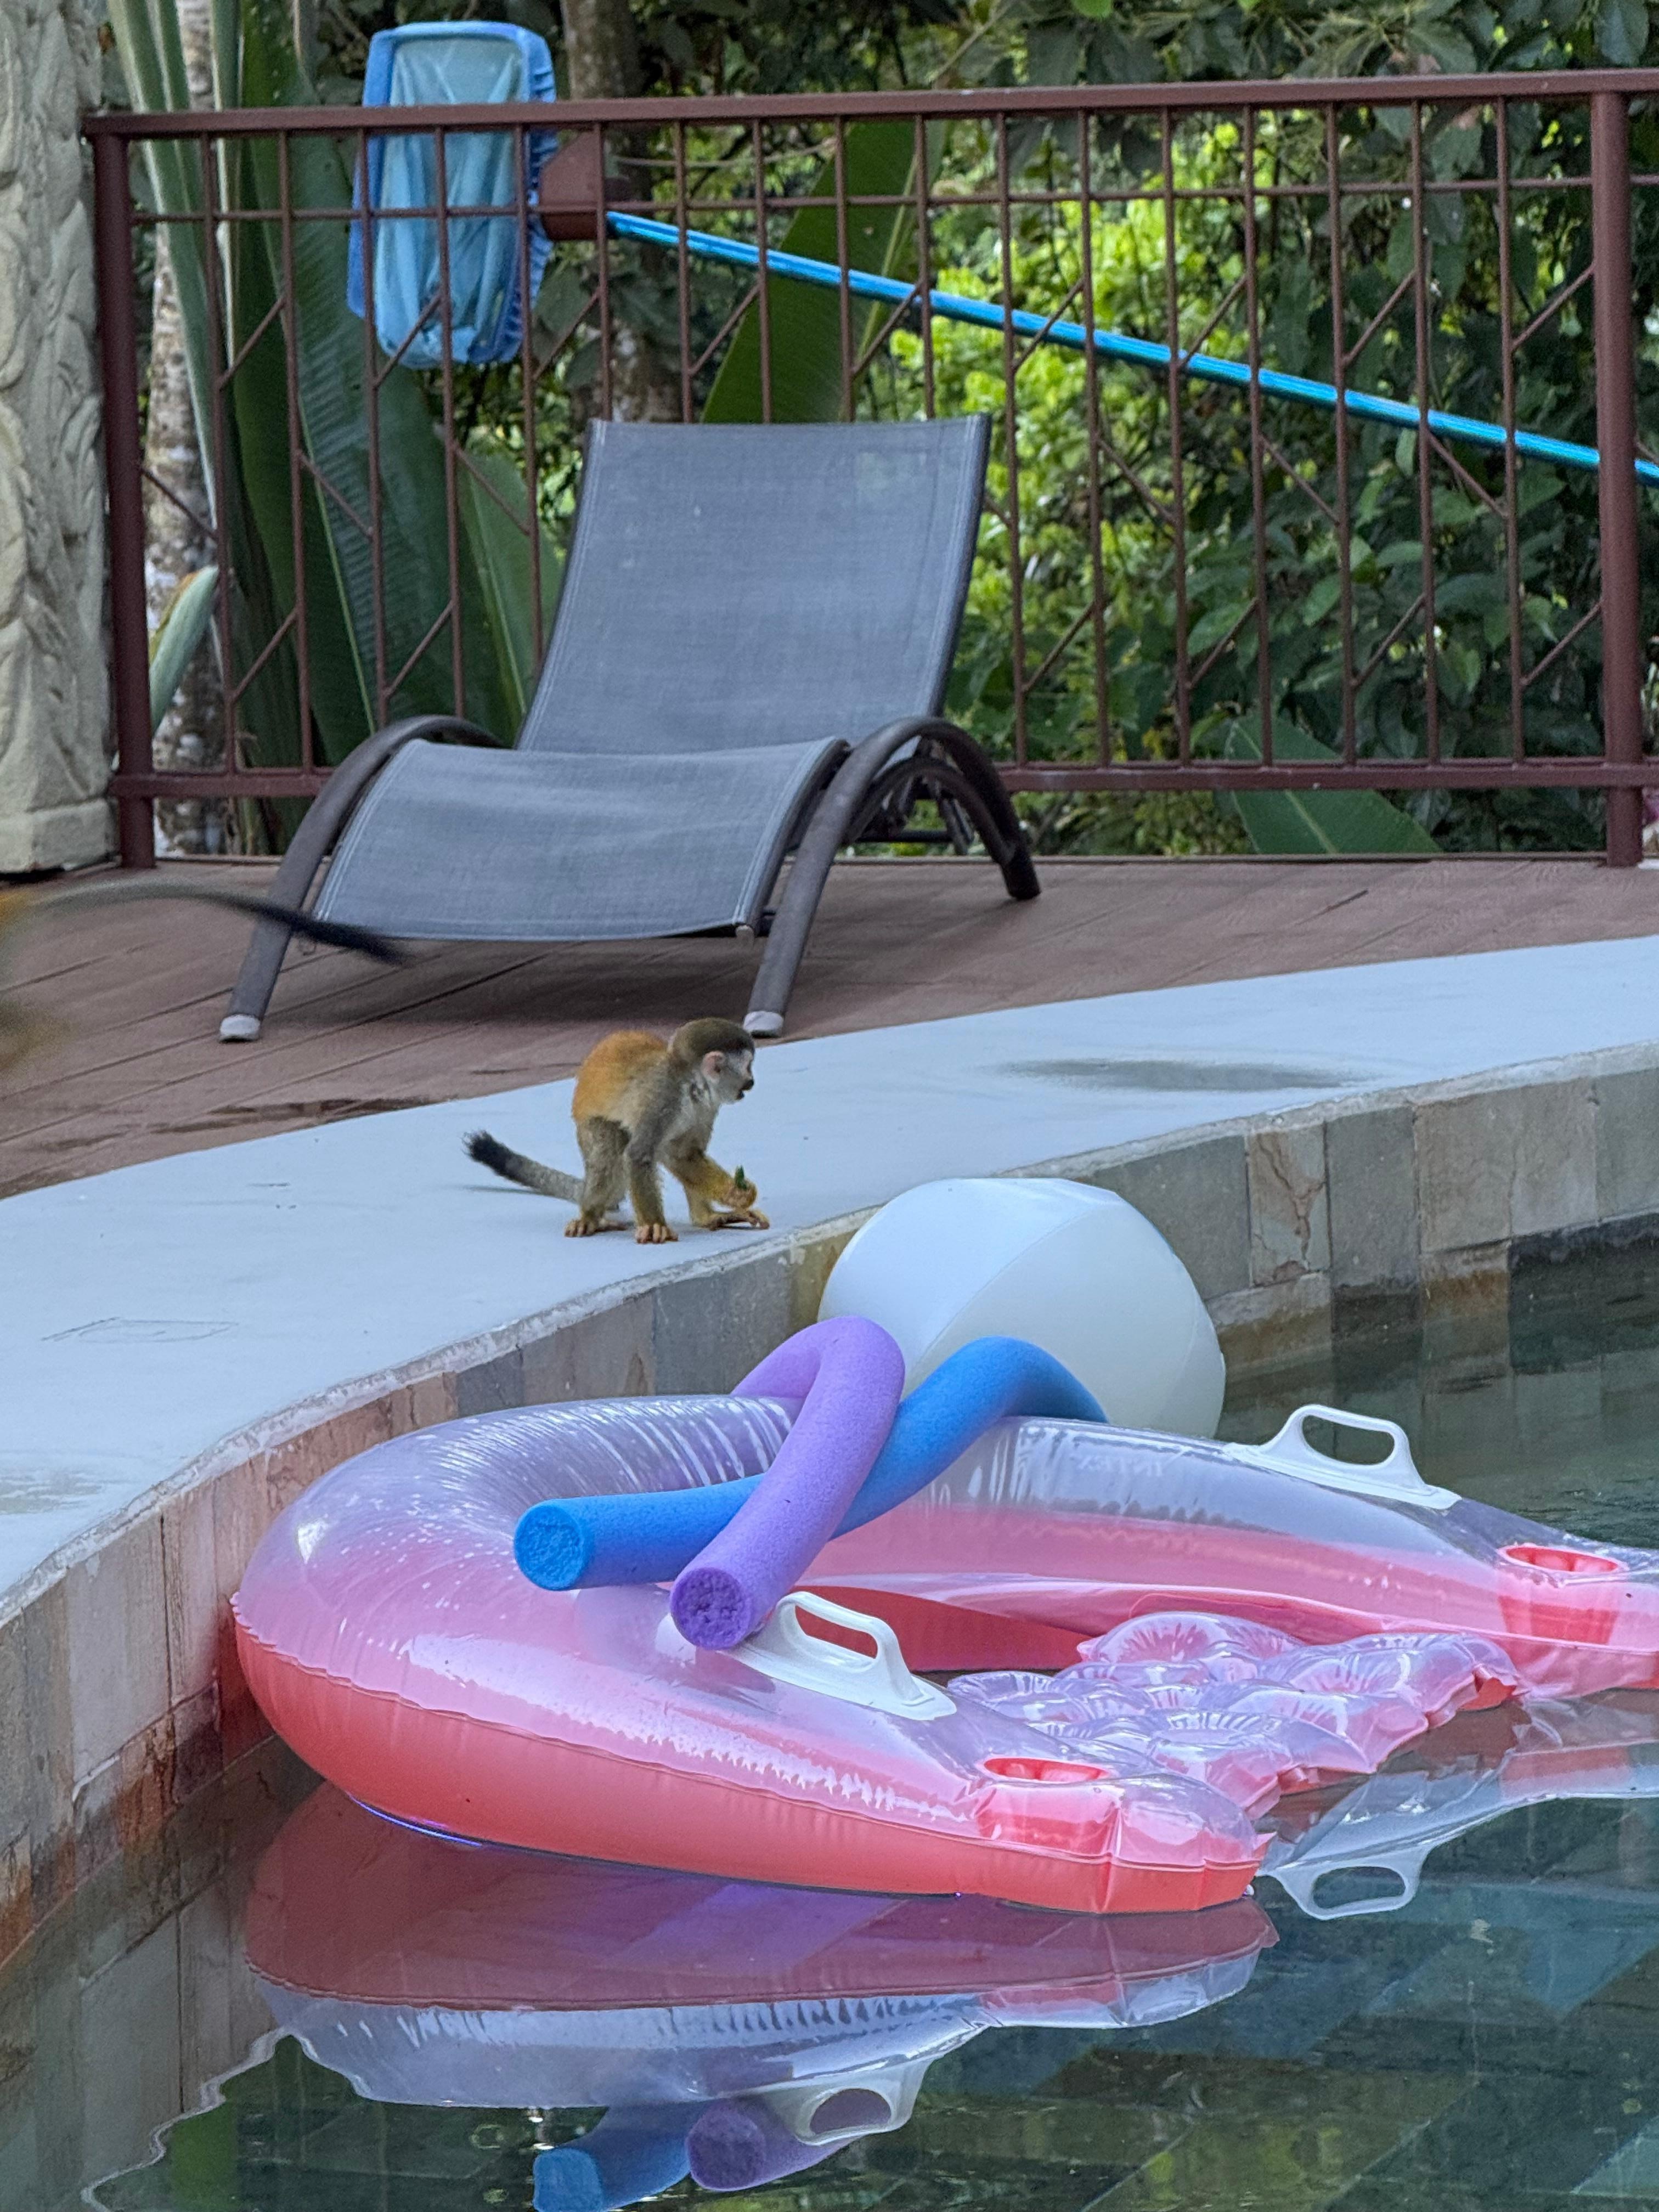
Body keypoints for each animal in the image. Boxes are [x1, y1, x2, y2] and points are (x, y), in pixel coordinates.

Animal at [466, 1018, 768, 1245]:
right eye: (748, 1067)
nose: (752, 1081)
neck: (692, 1086)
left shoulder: (708, 1105)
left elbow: (686, 1155)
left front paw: (734, 1194)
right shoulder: (663, 1096)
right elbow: (637, 1155)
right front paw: (655, 1226)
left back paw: (705, 1217)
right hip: (588, 1123)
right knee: (608, 1154)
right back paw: (590, 1216)